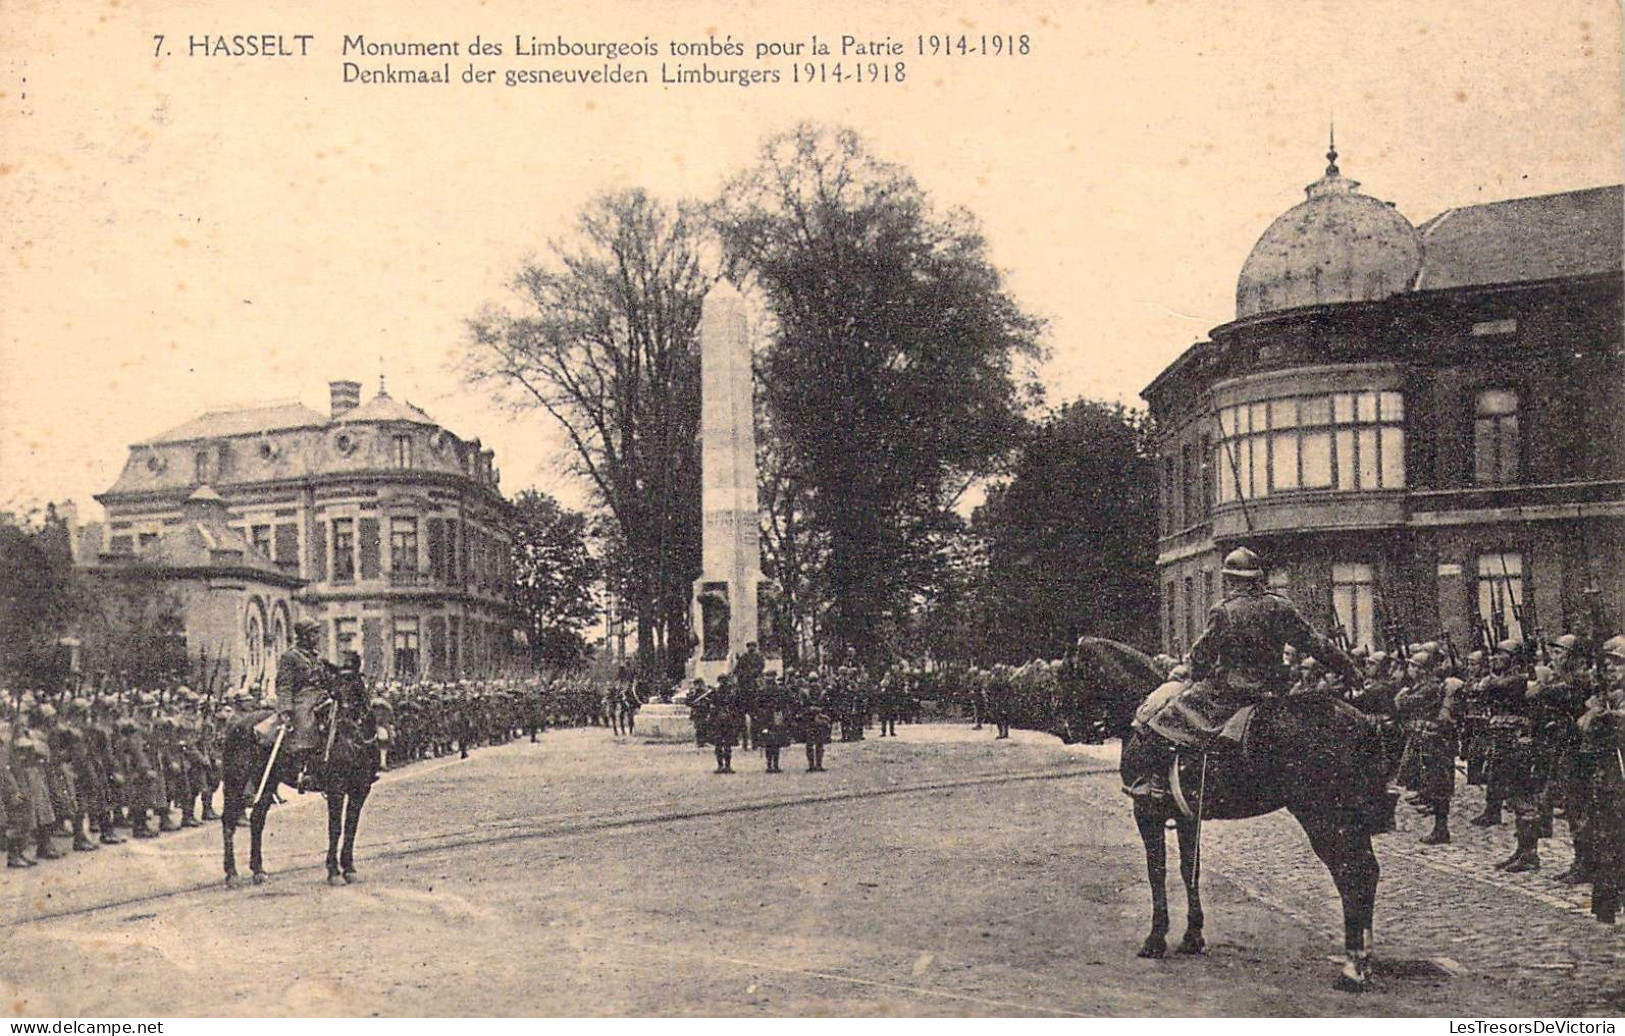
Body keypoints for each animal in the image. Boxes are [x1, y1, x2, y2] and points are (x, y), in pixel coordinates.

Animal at [1118, 694, 1397, 993]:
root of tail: (1363, 720)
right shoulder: (1187, 818)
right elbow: (1189, 870)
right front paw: (1192, 937)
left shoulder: (1147, 812)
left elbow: (1156, 873)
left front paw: (1155, 940)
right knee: (1367, 872)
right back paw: (1364, 963)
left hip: (1325, 819)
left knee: (1352, 875)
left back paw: (1352, 970)